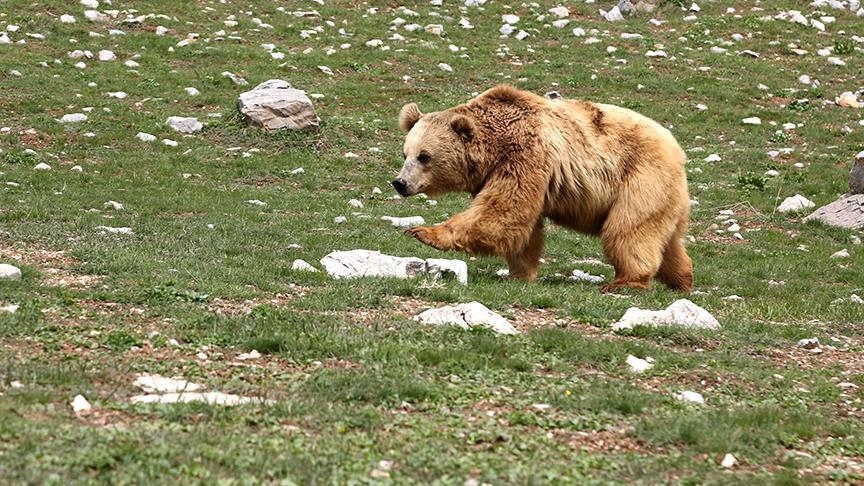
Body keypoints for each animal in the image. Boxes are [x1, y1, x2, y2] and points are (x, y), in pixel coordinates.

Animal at [392, 84, 696, 292]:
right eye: (405, 154)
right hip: (665, 195)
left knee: (628, 230)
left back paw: (625, 281)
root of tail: (676, 148)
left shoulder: (526, 155)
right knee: (665, 240)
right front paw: (520, 273)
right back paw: (682, 279)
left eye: (424, 156)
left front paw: (423, 232)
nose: (399, 183)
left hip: (641, 178)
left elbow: (503, 211)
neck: (494, 148)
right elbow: (523, 228)